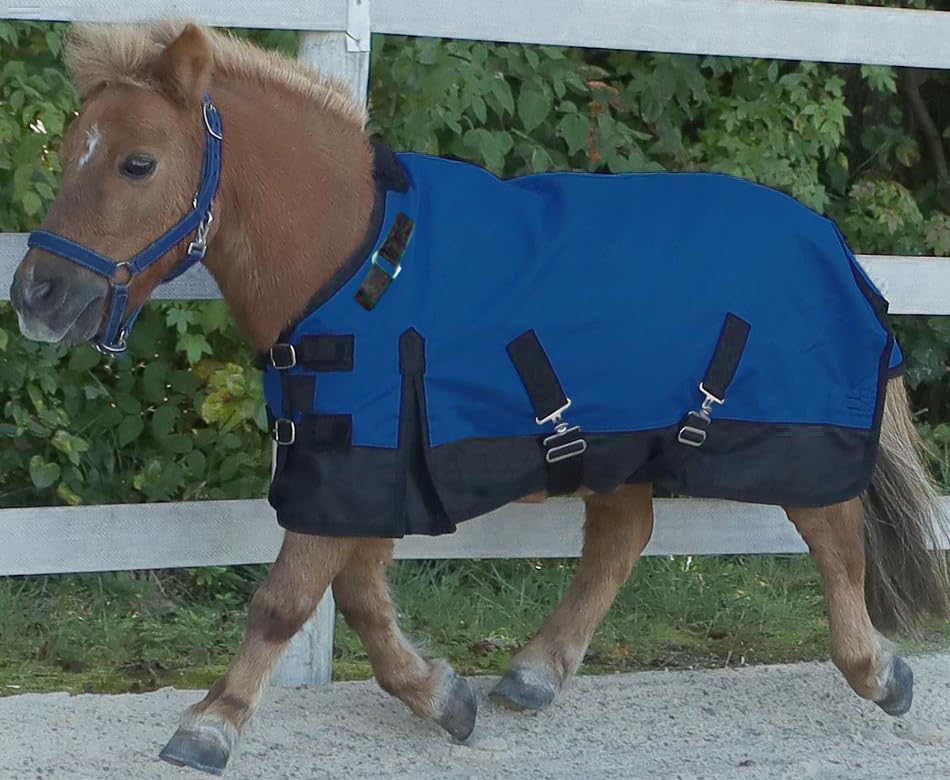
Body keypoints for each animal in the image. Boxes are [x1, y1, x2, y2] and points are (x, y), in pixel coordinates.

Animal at [9, 22, 950, 776]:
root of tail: (828, 238)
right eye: (69, 149)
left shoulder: (356, 462)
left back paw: (880, 671)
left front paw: (212, 724)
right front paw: (441, 695)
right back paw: (535, 673)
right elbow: (359, 600)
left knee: (834, 536)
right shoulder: (365, 467)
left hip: (795, 436)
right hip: (620, 443)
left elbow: (286, 599)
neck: (358, 261)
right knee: (622, 541)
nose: (36, 295)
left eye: (138, 162)